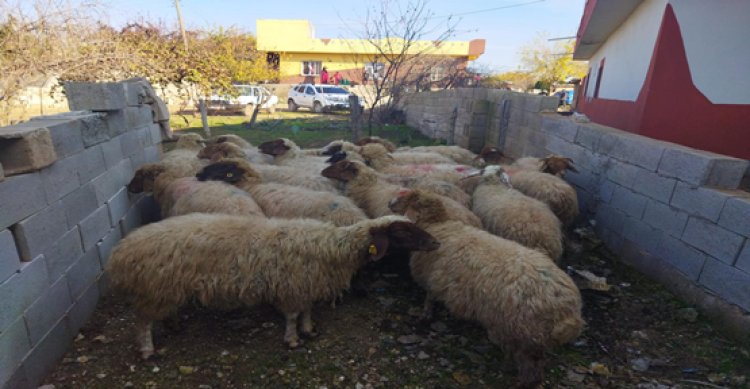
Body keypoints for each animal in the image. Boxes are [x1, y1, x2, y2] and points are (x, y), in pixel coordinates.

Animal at [108, 212, 444, 358]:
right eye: (403, 231)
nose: (436, 243)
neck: (335, 247)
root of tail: (121, 251)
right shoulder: (294, 284)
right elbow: (293, 315)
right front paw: (293, 339)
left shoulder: (307, 283)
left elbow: (307, 311)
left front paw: (309, 330)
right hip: (153, 287)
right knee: (142, 323)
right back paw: (147, 350)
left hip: (165, 288)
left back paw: (174, 324)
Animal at [388, 188, 588, 384]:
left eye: (407, 198)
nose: (390, 203)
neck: (438, 225)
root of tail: (568, 313)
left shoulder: (431, 277)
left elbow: (429, 298)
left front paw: (425, 315)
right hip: (530, 339)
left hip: (519, 333)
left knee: (530, 370)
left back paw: (511, 373)